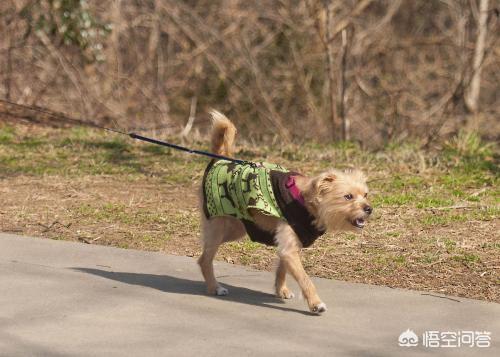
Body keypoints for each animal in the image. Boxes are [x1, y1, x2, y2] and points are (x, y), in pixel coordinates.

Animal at [196, 110, 372, 312]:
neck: (306, 203)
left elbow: (282, 270)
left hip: (235, 229)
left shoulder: (289, 247)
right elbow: (305, 279)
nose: (369, 208)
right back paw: (214, 287)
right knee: (205, 259)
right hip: (218, 227)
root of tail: (220, 159)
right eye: (348, 197)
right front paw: (315, 303)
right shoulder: (289, 248)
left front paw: (281, 291)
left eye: (365, 194)